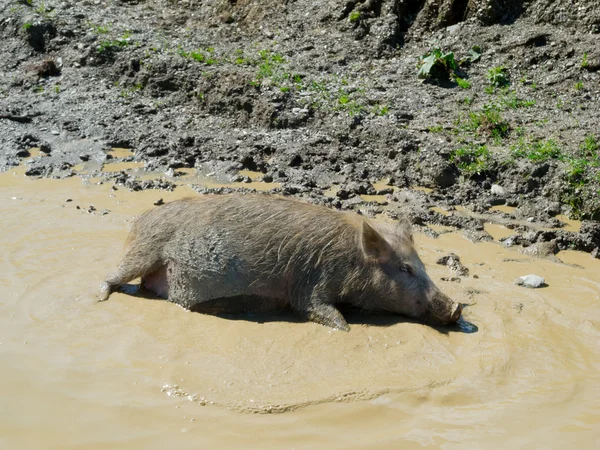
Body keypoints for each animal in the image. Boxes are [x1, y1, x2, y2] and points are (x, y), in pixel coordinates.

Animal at [101, 194, 462, 330]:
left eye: (422, 265)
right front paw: (344, 327)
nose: (457, 307)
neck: (350, 260)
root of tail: (139, 219)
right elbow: (326, 314)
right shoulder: (312, 284)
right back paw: (99, 299)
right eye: (405, 268)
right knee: (111, 277)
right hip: (142, 251)